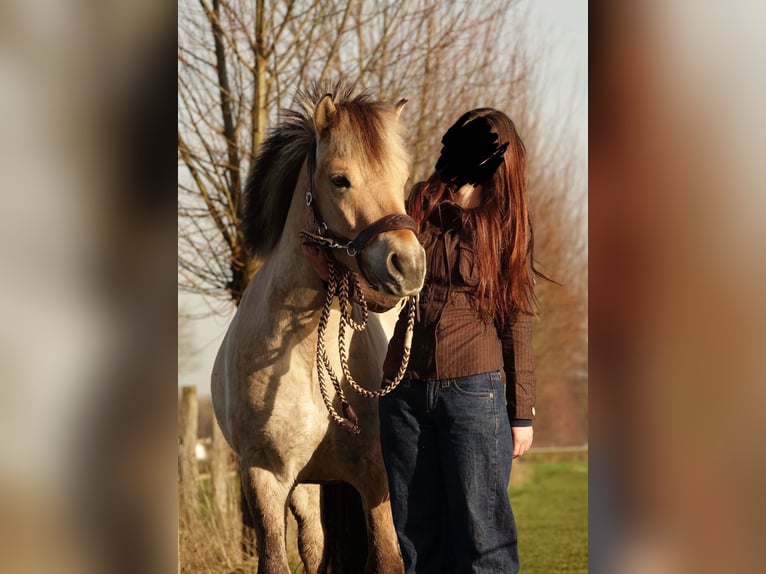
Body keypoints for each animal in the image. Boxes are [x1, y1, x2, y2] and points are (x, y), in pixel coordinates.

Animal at [211, 82, 426, 574]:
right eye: (339, 180)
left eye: (403, 178)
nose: (408, 265)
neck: (308, 357)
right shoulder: (265, 480)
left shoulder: (374, 477)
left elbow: (388, 559)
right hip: (307, 489)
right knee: (312, 543)